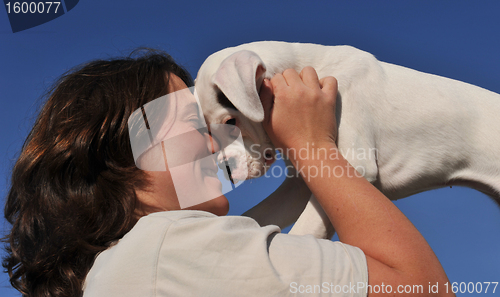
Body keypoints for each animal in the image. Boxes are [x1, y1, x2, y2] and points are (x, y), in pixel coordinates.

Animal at [194, 40, 500, 237]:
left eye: (231, 121)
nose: (226, 172)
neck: (308, 67)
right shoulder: (300, 186)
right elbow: (255, 217)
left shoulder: (353, 166)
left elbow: (304, 234)